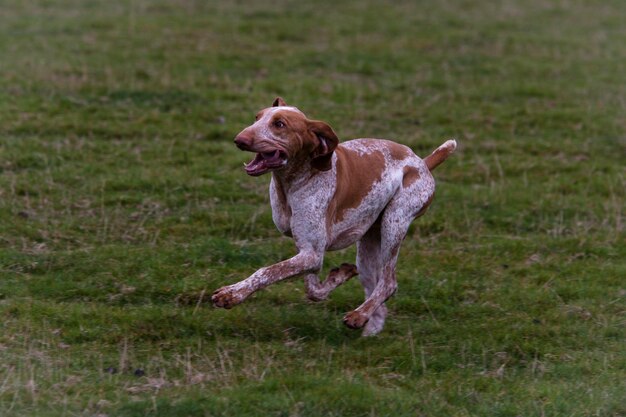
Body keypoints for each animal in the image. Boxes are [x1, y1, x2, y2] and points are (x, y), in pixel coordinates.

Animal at [211, 97, 454, 334]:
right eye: (257, 118)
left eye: (279, 124)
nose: (239, 139)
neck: (293, 182)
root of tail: (422, 162)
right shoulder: (309, 251)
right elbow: (312, 289)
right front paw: (339, 275)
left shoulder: (311, 253)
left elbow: (267, 272)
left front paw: (232, 294)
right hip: (368, 251)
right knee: (378, 297)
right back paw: (368, 328)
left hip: (394, 224)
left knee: (388, 283)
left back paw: (358, 315)